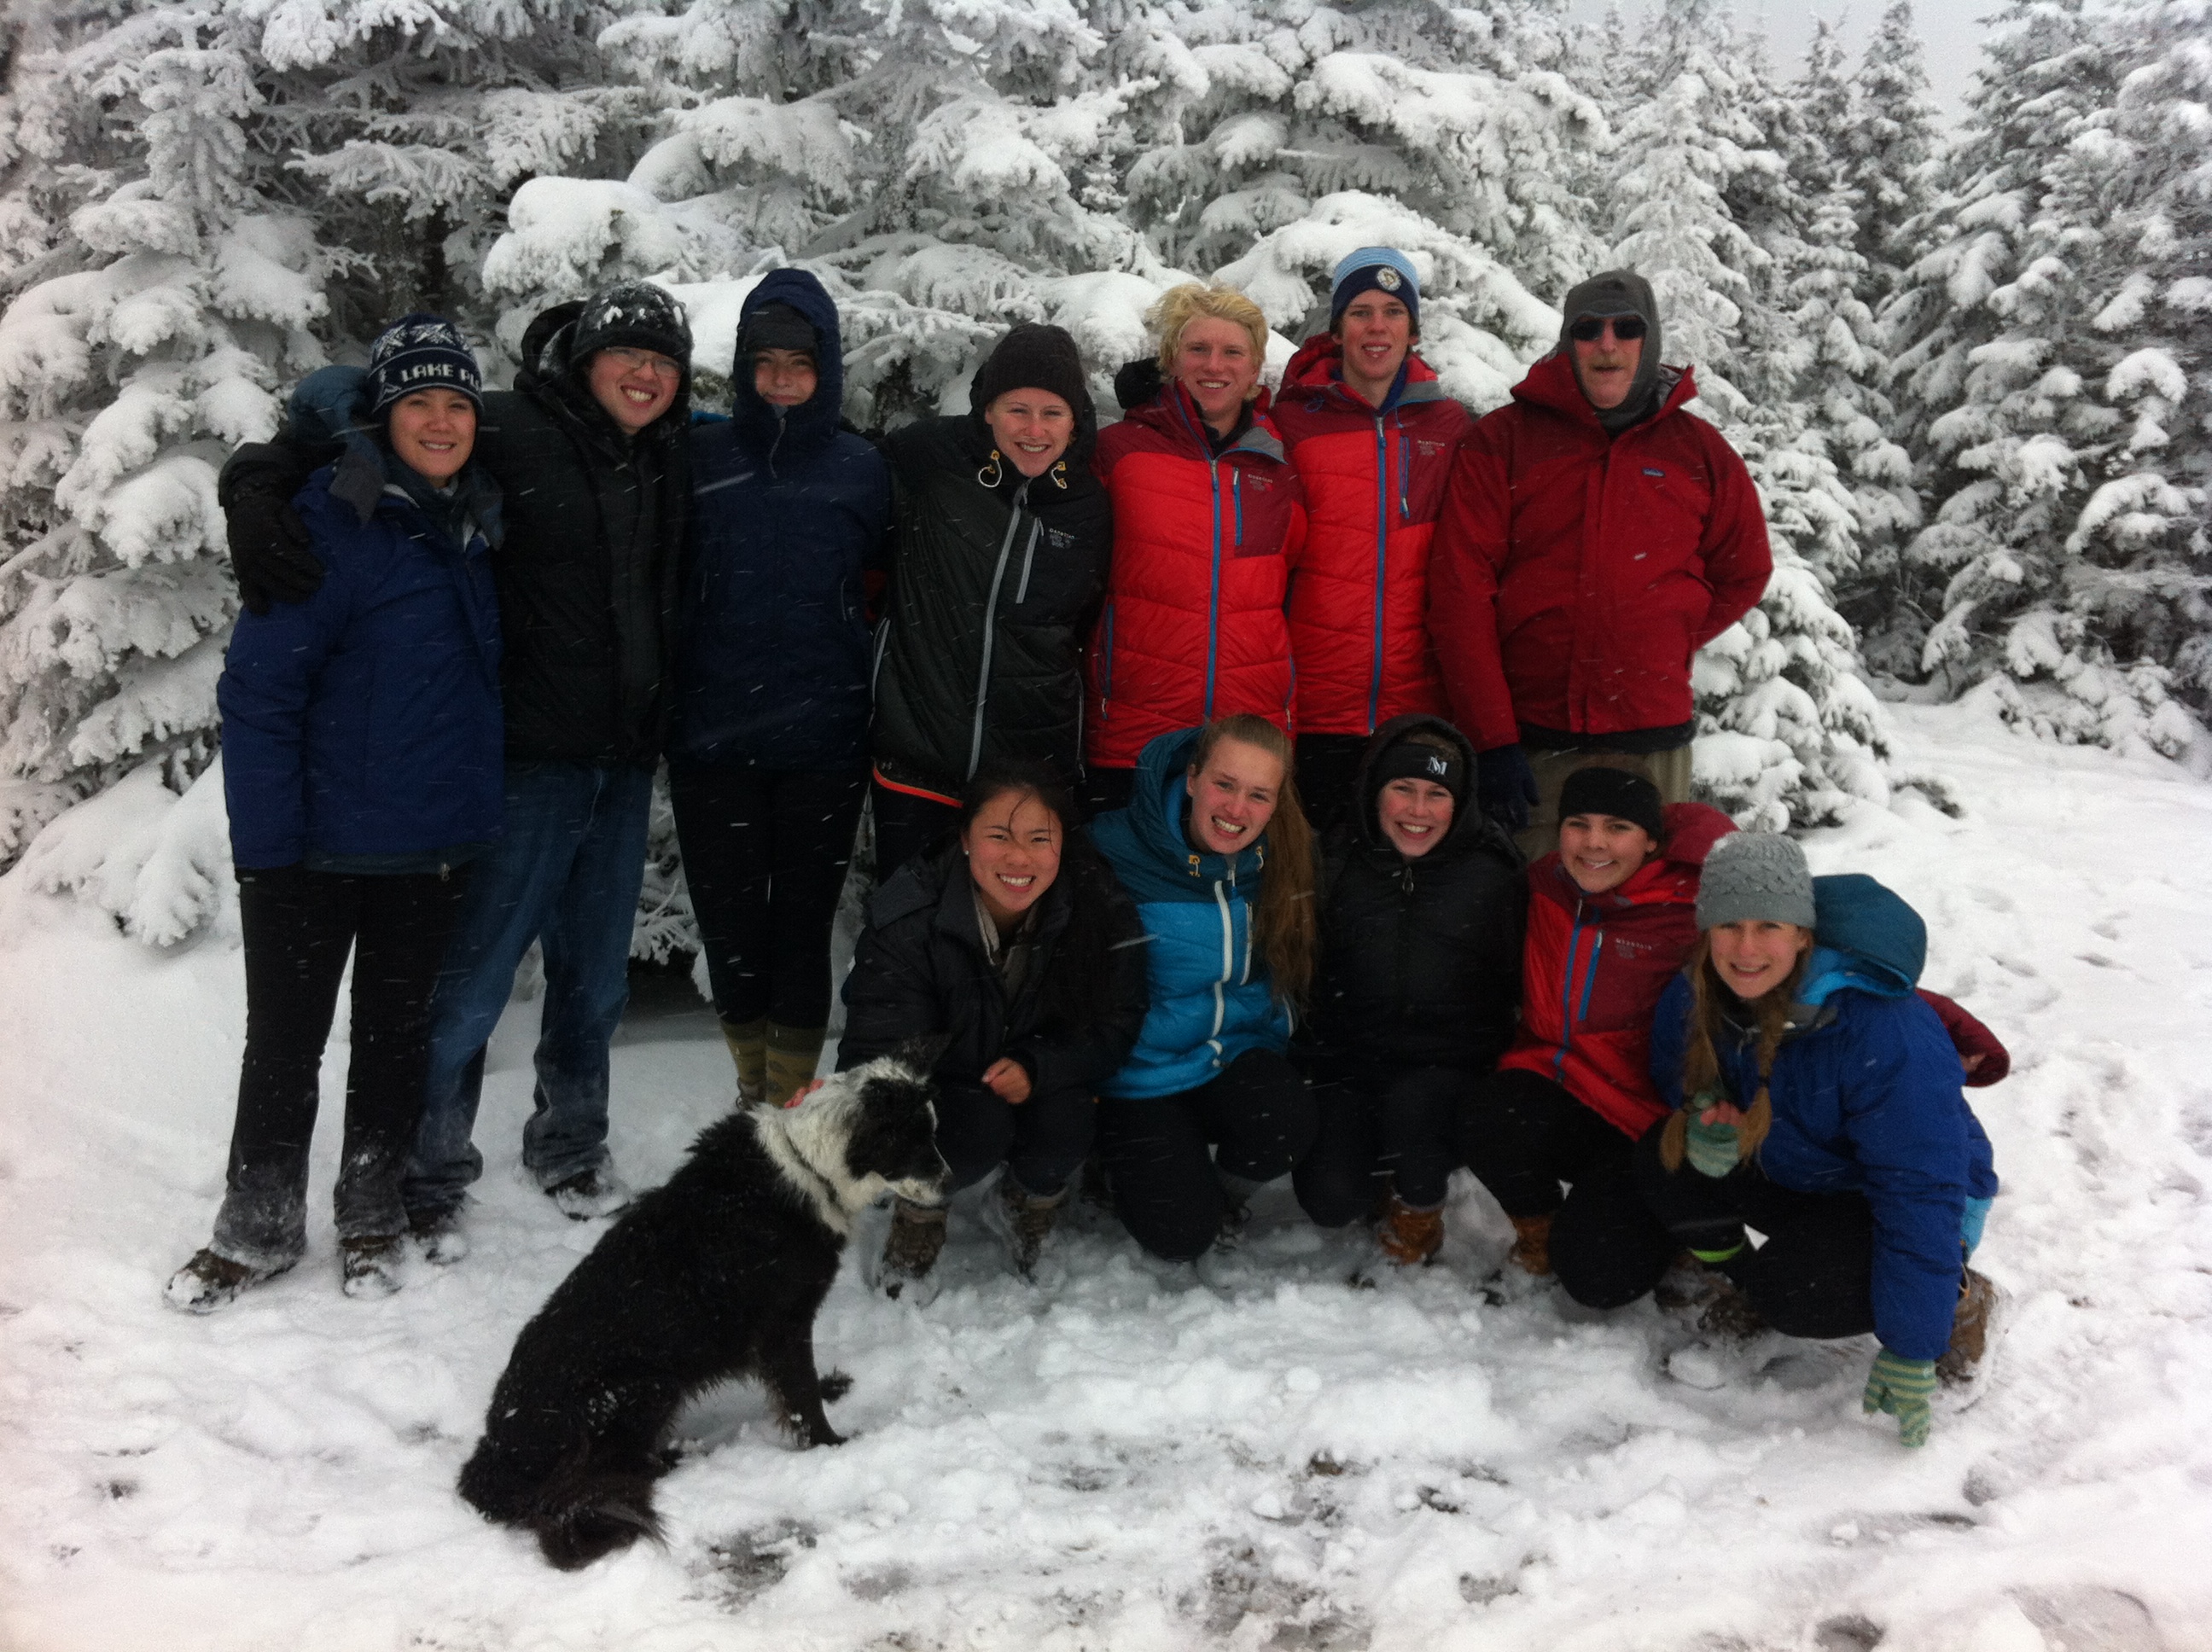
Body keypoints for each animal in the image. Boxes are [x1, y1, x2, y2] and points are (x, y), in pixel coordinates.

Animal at [462, 1052, 946, 1574]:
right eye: (917, 1139)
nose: (951, 1183)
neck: (808, 1164)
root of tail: (494, 1453)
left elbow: (802, 1386)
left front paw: (829, 1389)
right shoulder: (785, 1324)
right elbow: (800, 1398)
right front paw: (832, 1446)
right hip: (643, 1387)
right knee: (624, 1465)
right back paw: (679, 1459)